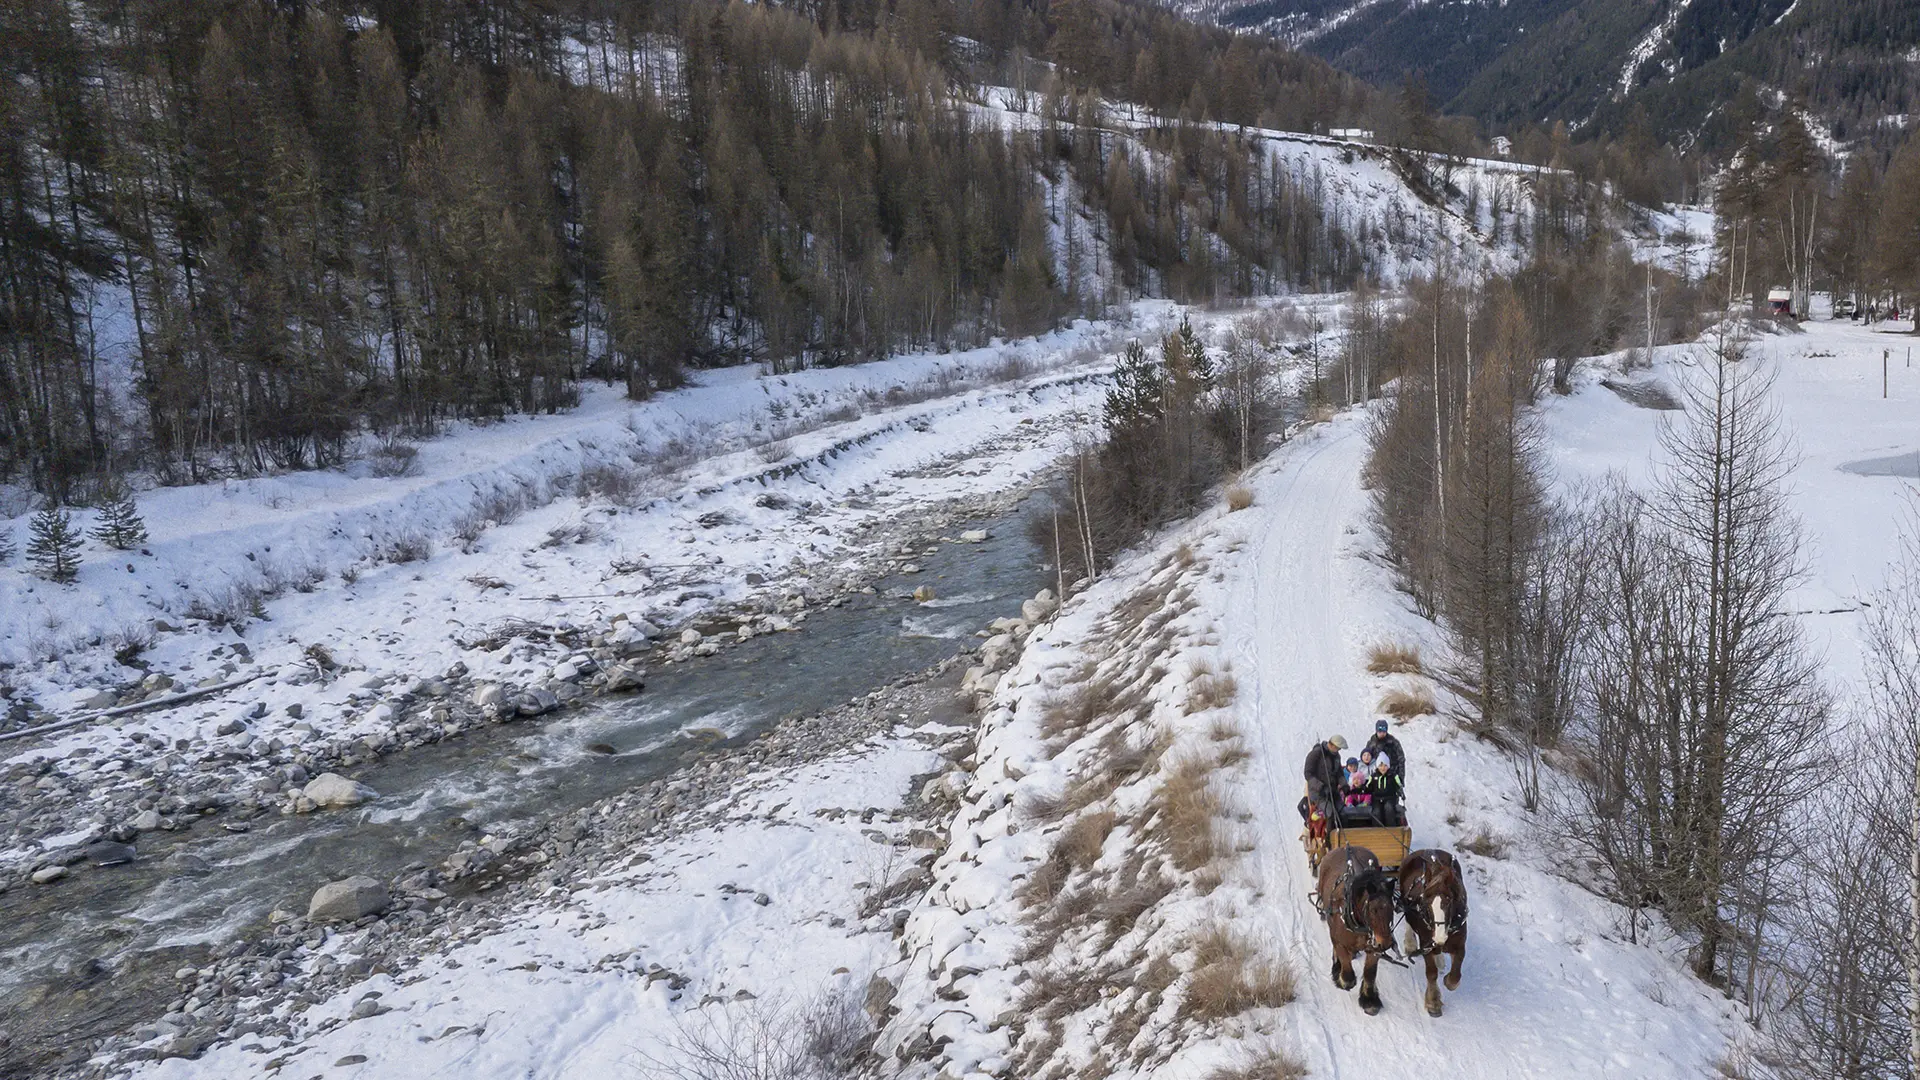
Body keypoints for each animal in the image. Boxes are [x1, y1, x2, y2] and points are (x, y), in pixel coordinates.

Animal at [1320, 841, 1397, 1006]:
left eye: (1392, 907)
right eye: (1373, 910)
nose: (1386, 943)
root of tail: (1347, 846)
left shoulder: (1374, 948)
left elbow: (1370, 973)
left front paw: (1369, 999)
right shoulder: (1339, 941)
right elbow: (1347, 972)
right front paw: (1342, 978)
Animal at [1397, 845, 1466, 1014]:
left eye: (1449, 901)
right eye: (1426, 903)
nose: (1439, 938)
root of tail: (1425, 850)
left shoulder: (1460, 944)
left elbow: (1455, 976)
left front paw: (1448, 980)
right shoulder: (1426, 943)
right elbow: (1431, 972)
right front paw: (1433, 1001)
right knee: (1408, 920)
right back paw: (1410, 944)